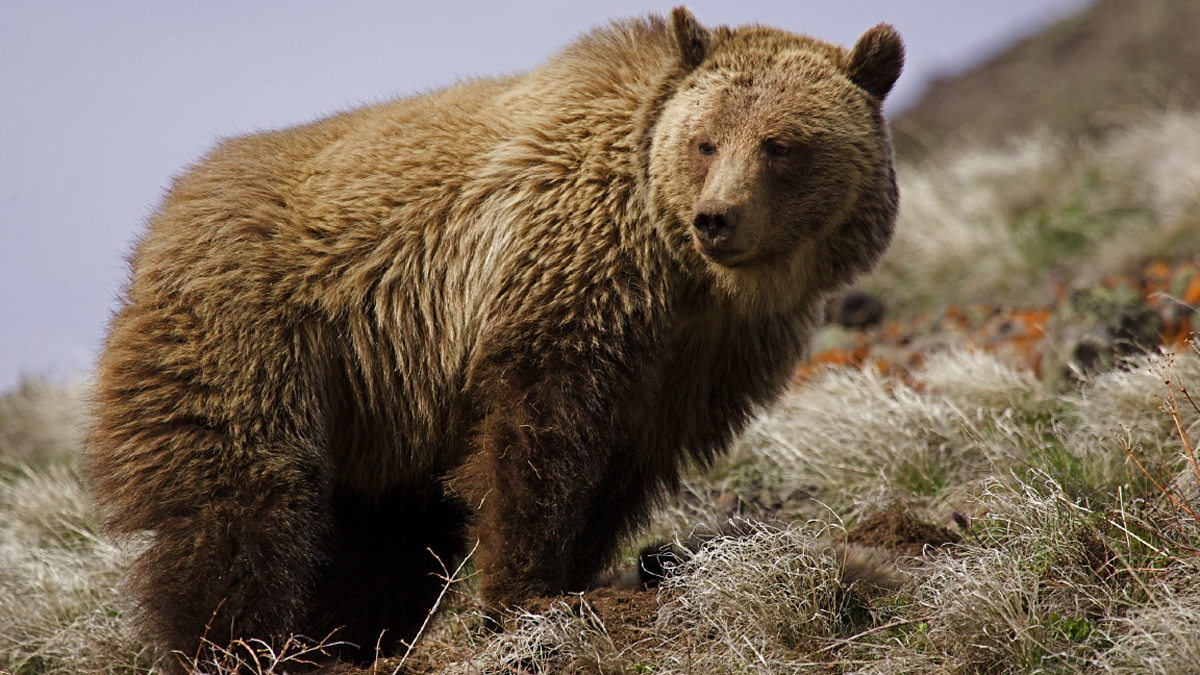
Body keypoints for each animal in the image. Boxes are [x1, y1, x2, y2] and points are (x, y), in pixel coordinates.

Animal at [86, 8, 903, 671]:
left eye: (781, 143)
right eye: (705, 142)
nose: (717, 218)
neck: (683, 273)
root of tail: (166, 214)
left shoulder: (699, 360)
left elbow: (619, 466)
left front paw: (577, 575)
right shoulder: (566, 273)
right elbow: (538, 438)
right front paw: (528, 591)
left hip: (379, 403)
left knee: (384, 533)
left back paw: (347, 640)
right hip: (250, 335)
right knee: (240, 496)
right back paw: (241, 643)